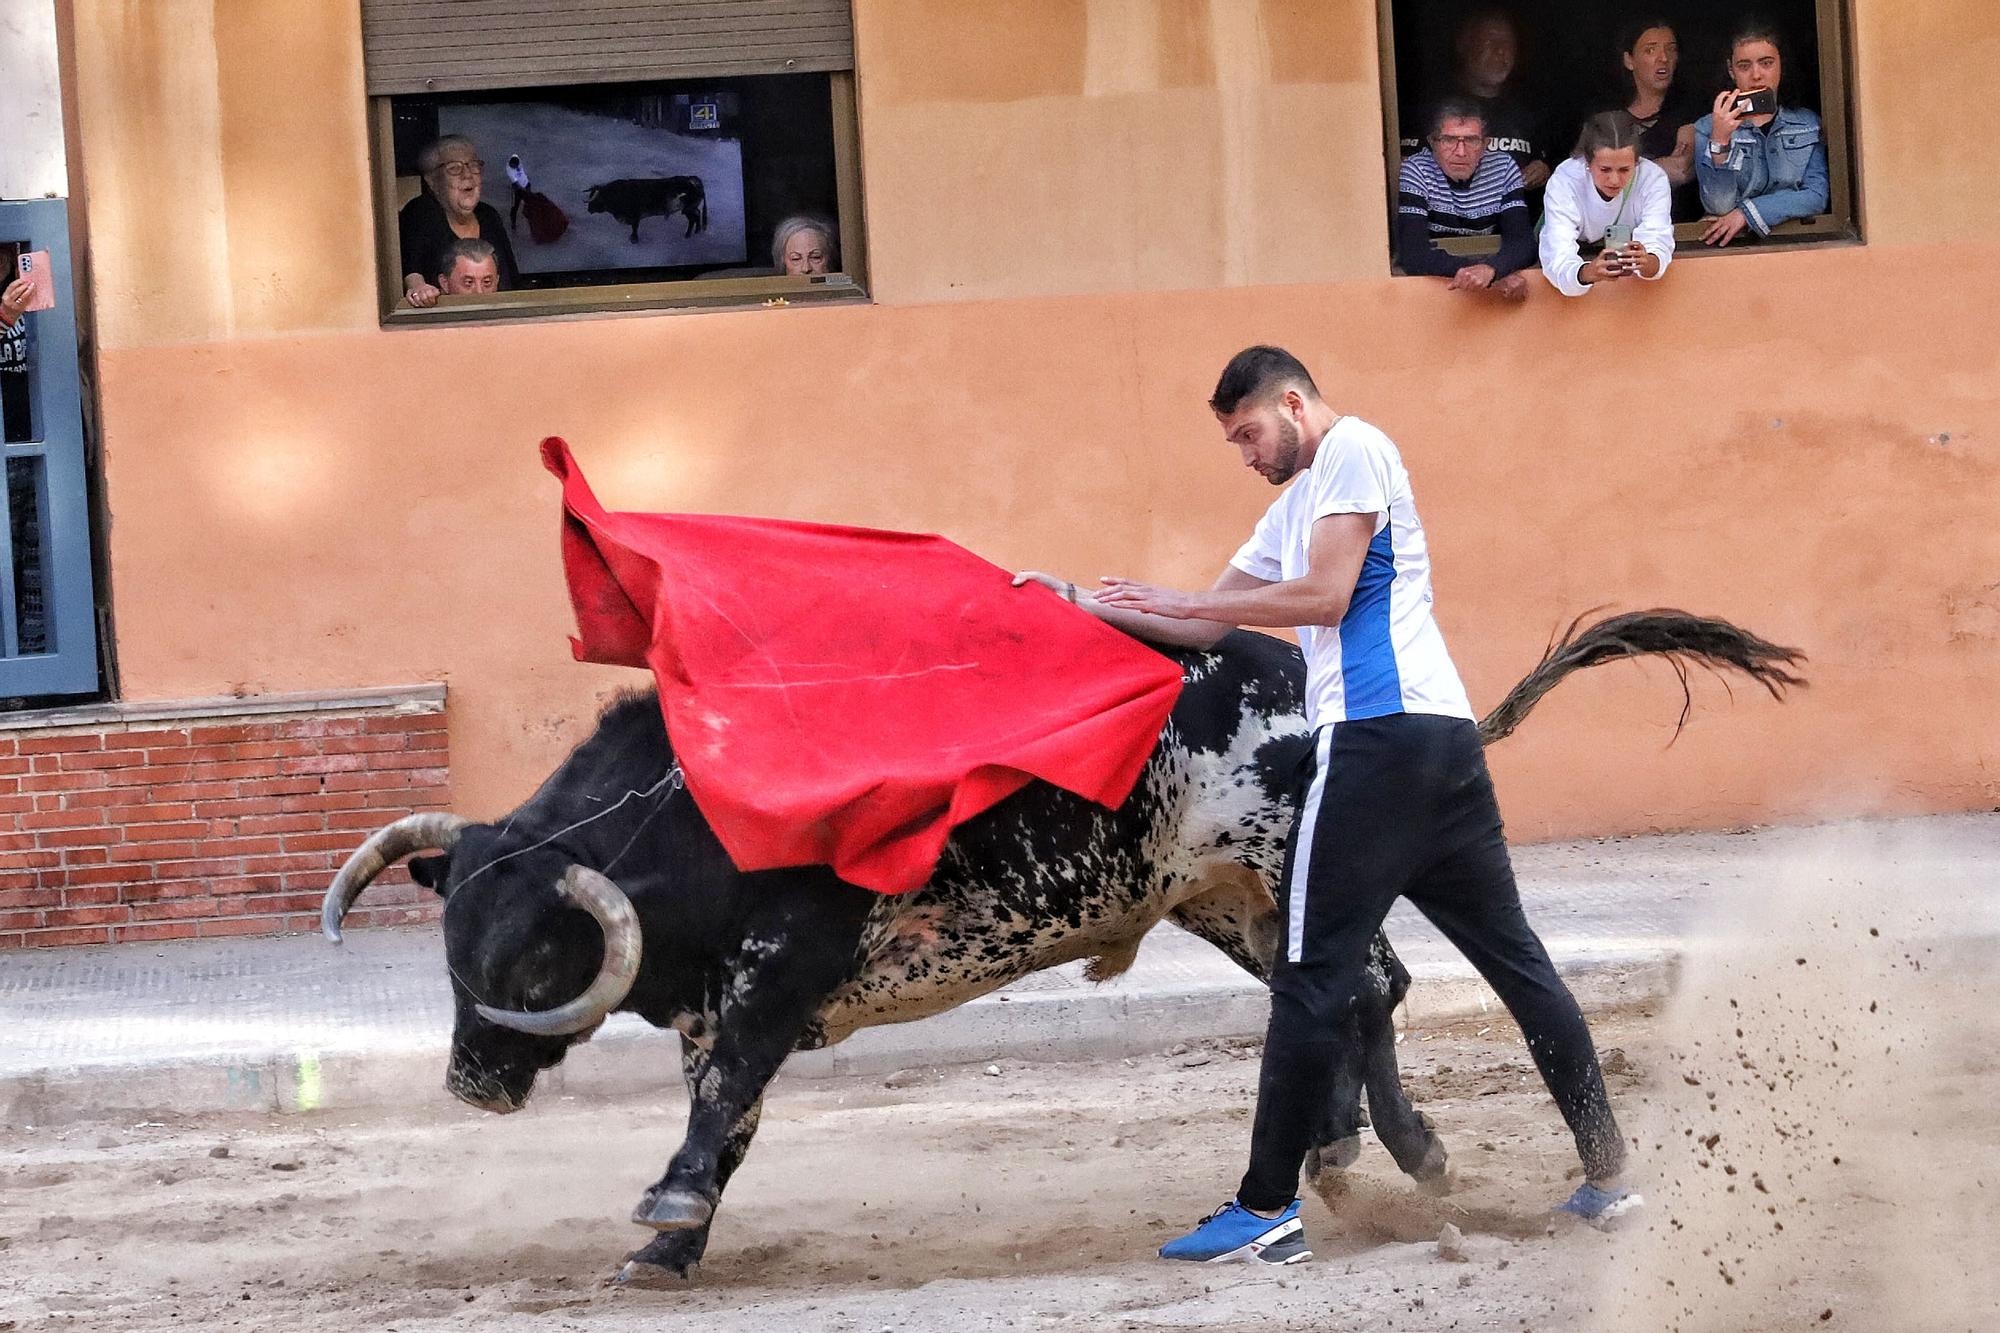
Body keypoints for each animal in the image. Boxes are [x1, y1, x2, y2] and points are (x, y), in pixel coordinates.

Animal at [324, 608, 1800, 1280]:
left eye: (531, 960)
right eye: (449, 943)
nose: (469, 1080)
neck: (696, 793)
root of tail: (1305, 663)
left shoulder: (781, 967)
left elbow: (727, 1093)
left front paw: (664, 1219)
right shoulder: (719, 995)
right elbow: (725, 1114)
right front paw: (670, 1249)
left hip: (1282, 862)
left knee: (1356, 986)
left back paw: (1359, 1158)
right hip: (1220, 893)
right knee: (1353, 991)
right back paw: (1361, 1155)